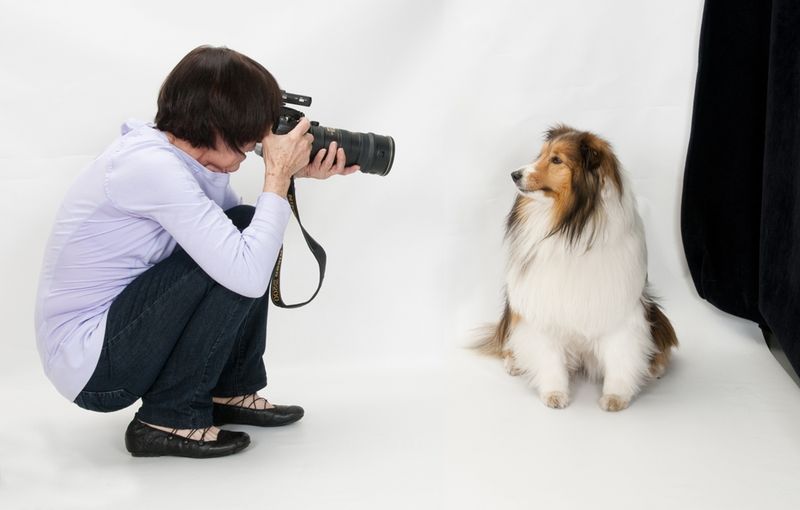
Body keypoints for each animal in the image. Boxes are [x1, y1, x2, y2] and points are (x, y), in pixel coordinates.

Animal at [478, 125, 680, 412]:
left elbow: (620, 355)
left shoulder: (620, 308)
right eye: (540, 155)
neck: (570, 226)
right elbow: (548, 357)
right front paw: (554, 393)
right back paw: (514, 362)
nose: (514, 174)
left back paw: (655, 366)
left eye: (556, 160)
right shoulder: (542, 305)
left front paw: (616, 396)